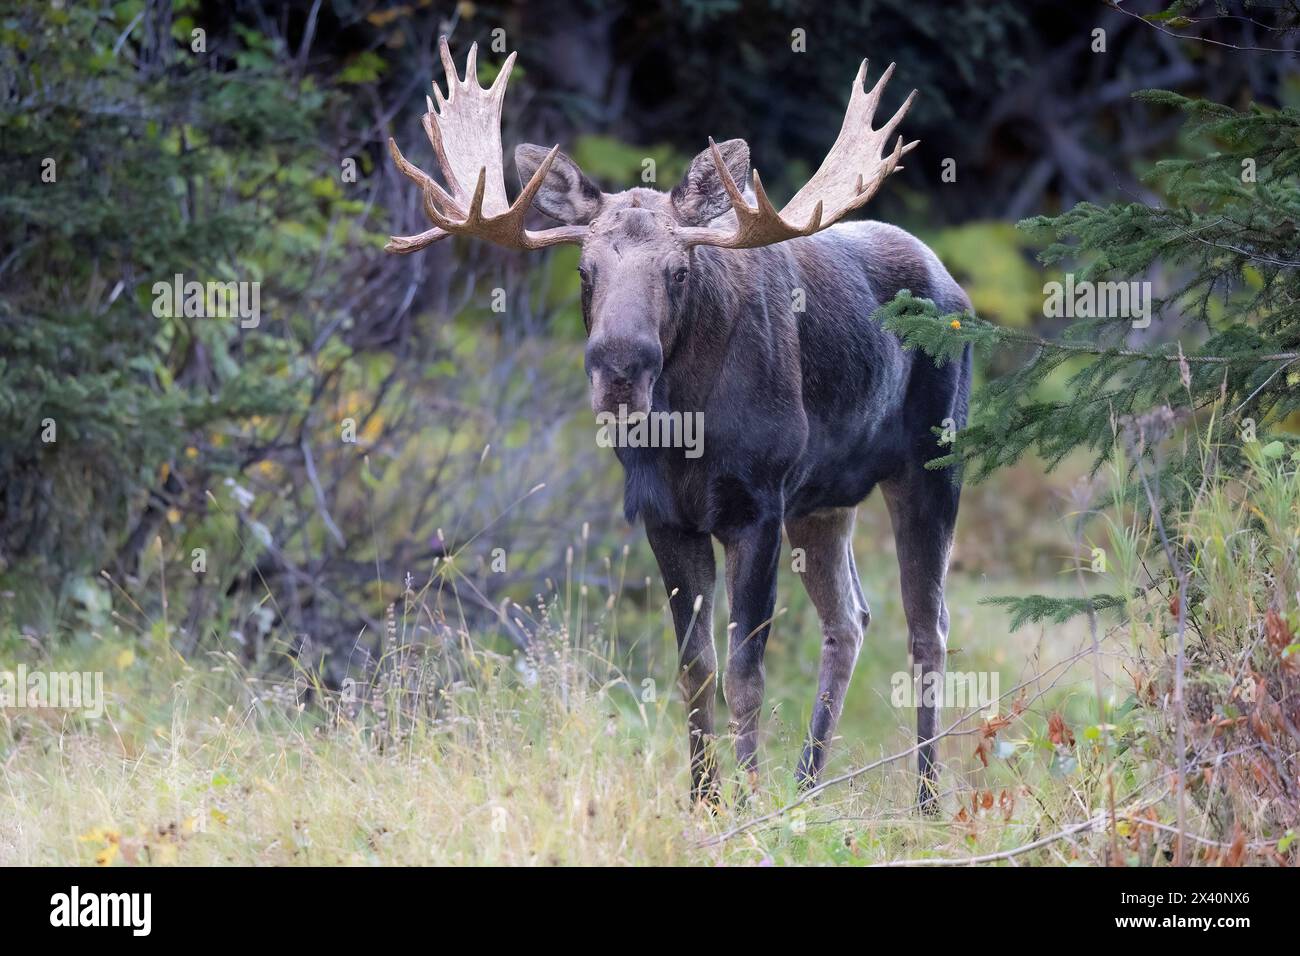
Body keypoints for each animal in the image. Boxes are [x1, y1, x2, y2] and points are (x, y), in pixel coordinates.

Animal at [387, 41, 977, 811]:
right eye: (585, 269)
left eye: (677, 270)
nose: (619, 368)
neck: (687, 436)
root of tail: (954, 287)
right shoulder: (665, 515)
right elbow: (695, 667)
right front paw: (704, 799)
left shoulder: (758, 506)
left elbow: (745, 672)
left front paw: (748, 802)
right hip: (824, 501)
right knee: (850, 618)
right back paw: (806, 784)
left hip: (932, 464)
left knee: (927, 626)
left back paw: (927, 800)